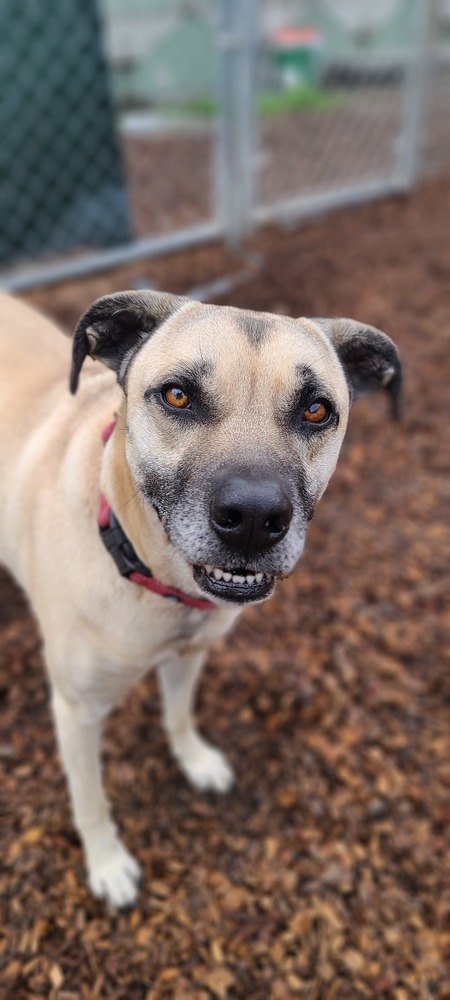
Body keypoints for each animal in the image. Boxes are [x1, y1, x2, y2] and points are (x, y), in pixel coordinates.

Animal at [0, 288, 400, 908]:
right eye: (177, 395)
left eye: (316, 410)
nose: (255, 519)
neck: (159, 583)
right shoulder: (76, 711)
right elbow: (91, 800)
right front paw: (106, 862)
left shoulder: (190, 656)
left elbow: (178, 713)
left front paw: (194, 759)